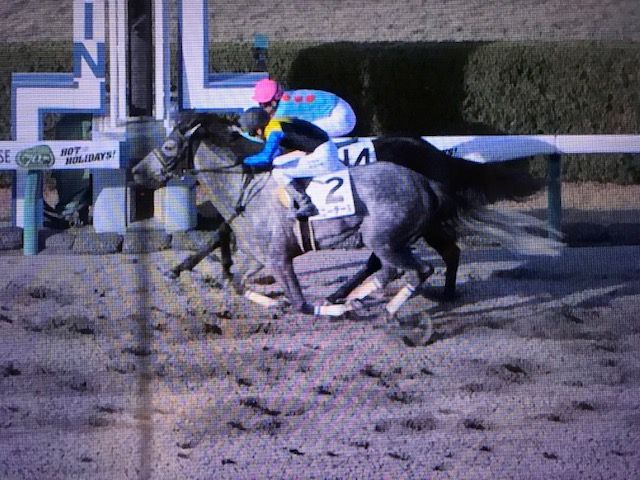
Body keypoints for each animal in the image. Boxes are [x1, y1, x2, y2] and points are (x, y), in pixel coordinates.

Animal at [132, 114, 561, 317]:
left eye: (168, 146)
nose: (136, 172)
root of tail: (432, 162)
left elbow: (223, 240)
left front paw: (184, 266)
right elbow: (233, 263)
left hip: (396, 230)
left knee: (403, 260)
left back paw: (356, 296)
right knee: (427, 257)